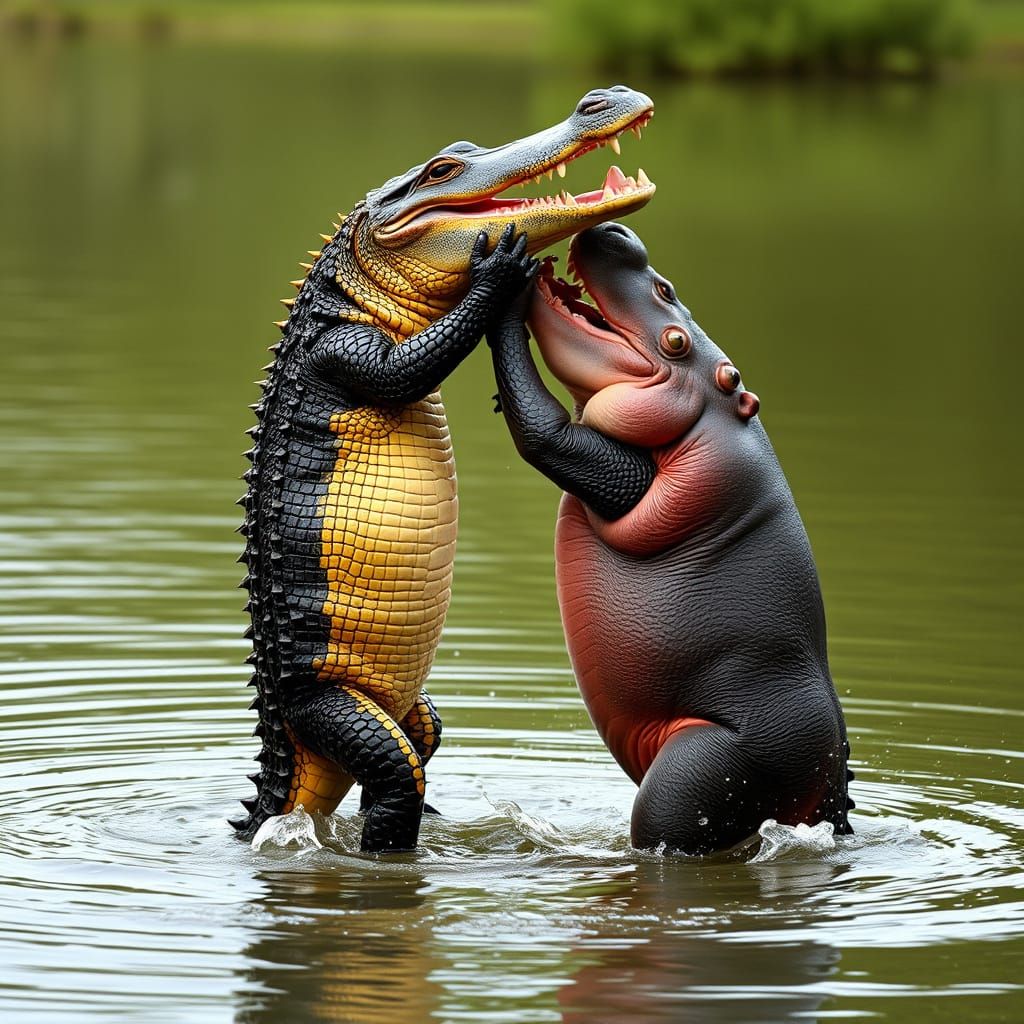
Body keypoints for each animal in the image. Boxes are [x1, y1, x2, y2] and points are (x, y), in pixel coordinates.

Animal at [488, 222, 853, 855]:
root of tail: (830, 777)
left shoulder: (613, 471)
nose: (618, 230)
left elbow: (544, 433)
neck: (714, 410)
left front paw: (505, 293)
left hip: (695, 775)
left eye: (675, 337)